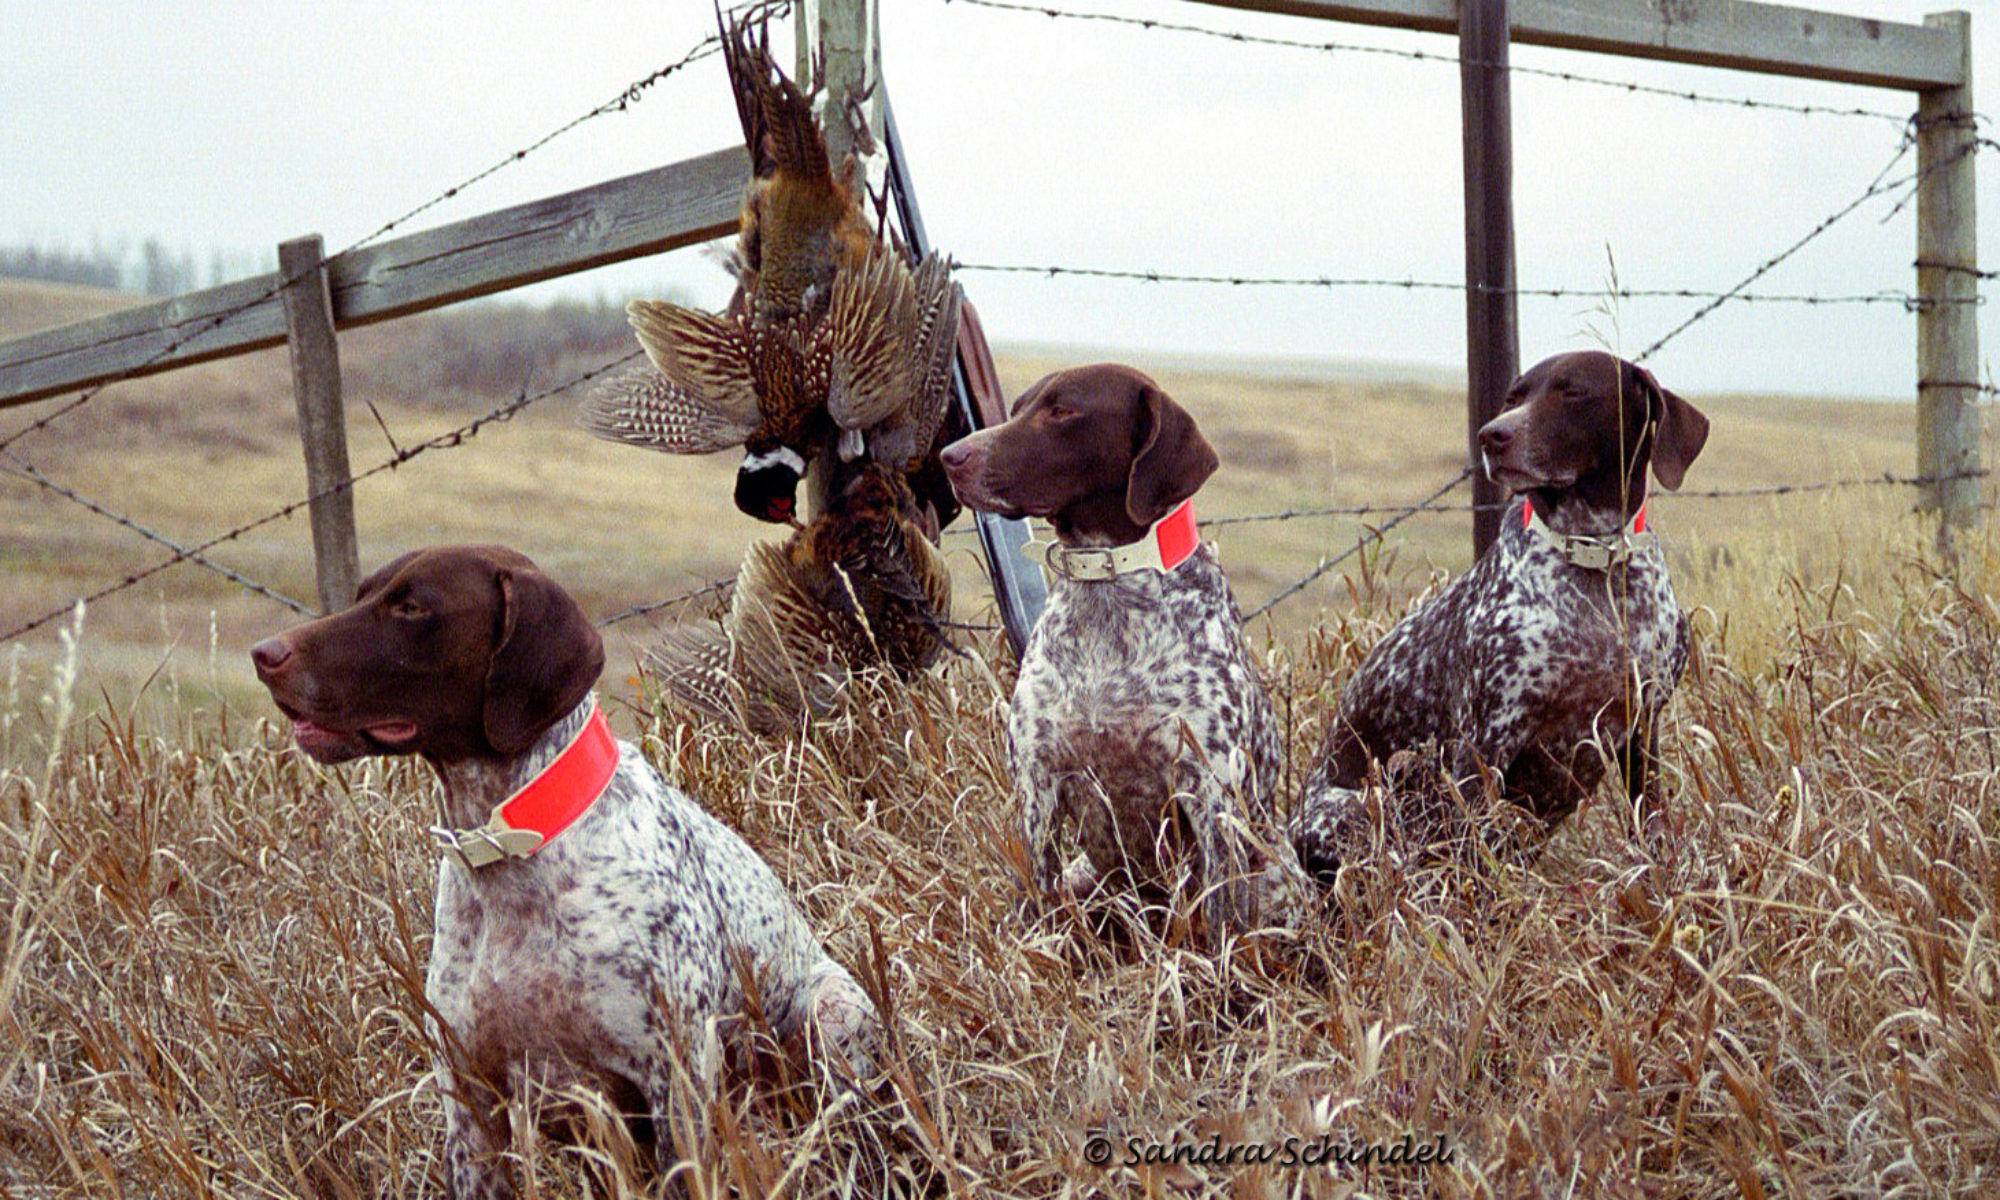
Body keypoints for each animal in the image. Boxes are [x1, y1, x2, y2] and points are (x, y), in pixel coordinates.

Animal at [250, 548, 876, 1200]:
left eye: (412, 607)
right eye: (363, 595)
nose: (264, 654)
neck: (513, 851)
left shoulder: (674, 1087)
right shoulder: (471, 1103)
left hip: (834, 1015)